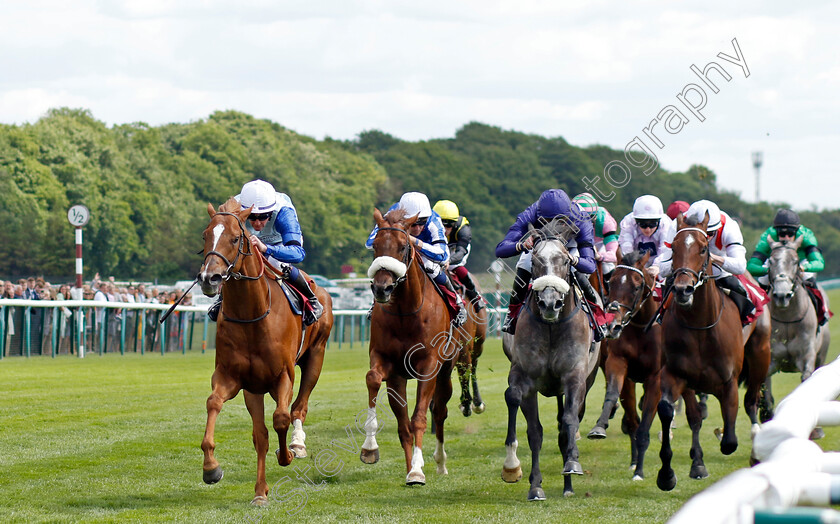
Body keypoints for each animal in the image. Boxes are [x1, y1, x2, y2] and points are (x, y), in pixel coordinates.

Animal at [199, 199, 334, 506]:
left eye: (234, 238)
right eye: (205, 236)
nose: (209, 278)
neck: (252, 316)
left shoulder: (283, 376)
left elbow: (281, 418)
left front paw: (286, 455)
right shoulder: (236, 379)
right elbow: (216, 405)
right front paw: (212, 468)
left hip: (316, 357)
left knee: (298, 407)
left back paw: (297, 445)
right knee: (261, 433)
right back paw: (260, 490)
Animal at [360, 207, 470, 486]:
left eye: (402, 247)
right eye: (375, 246)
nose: (382, 288)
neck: (405, 312)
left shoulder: (428, 366)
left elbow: (420, 417)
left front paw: (418, 471)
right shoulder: (387, 363)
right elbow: (373, 379)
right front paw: (370, 449)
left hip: (446, 370)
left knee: (439, 412)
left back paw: (439, 463)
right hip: (399, 379)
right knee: (403, 425)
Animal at [502, 224, 600, 500]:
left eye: (565, 261)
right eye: (535, 261)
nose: (549, 303)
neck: (551, 327)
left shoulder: (574, 377)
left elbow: (569, 422)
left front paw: (572, 464)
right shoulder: (525, 377)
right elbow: (531, 426)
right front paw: (519, 473)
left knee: (567, 424)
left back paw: (568, 483)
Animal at [652, 212, 772, 492]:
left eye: (703, 248)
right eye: (674, 248)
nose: (683, 289)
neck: (700, 326)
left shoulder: (728, 381)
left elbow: (729, 439)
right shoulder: (676, 375)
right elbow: (672, 411)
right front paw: (670, 474)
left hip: (760, 356)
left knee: (751, 402)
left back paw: (756, 449)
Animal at [760, 238, 828, 426]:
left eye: (796, 261)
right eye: (771, 261)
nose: (782, 295)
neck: (787, 320)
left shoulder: (807, 357)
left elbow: (806, 380)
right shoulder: (770, 360)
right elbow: (766, 393)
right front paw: (766, 414)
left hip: (821, 356)